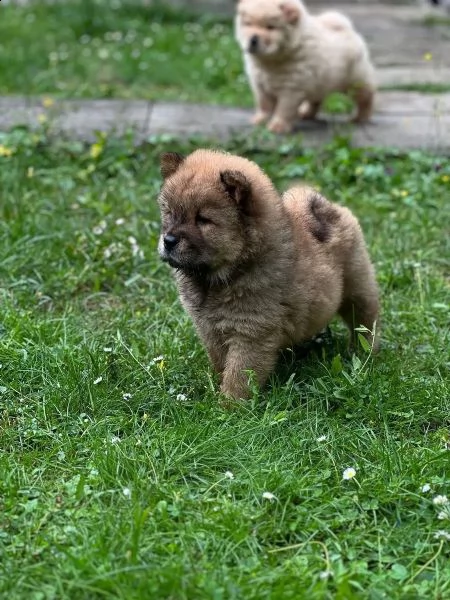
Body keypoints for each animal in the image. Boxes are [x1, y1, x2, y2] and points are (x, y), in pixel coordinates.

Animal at [158, 151, 380, 404]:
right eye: (170, 213)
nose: (168, 240)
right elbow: (221, 362)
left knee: (365, 318)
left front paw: (228, 406)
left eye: (203, 219)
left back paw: (364, 350)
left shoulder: (251, 333)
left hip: (357, 285)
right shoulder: (210, 329)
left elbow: (239, 374)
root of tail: (326, 207)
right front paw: (218, 387)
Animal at [236, 0, 376, 132]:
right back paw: (306, 113)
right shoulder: (259, 84)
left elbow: (284, 108)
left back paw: (360, 118)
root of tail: (346, 28)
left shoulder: (292, 88)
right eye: (248, 24)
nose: (253, 39)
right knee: (315, 100)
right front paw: (260, 120)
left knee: (365, 97)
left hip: (355, 81)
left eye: (270, 27)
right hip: (320, 82)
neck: (272, 61)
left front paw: (278, 126)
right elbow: (263, 104)